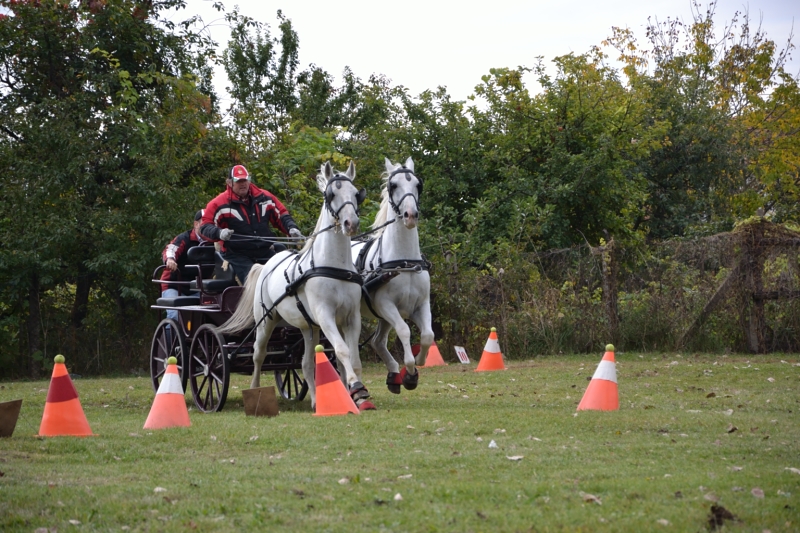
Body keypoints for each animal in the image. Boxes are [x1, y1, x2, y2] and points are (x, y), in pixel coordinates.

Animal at [220, 161, 372, 411]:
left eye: (356, 194)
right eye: (331, 194)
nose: (351, 223)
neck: (332, 265)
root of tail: (266, 264)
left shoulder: (351, 317)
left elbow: (353, 358)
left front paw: (357, 394)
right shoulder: (325, 315)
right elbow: (342, 350)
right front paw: (356, 388)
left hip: (308, 328)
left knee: (306, 363)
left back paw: (315, 400)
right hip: (266, 322)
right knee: (258, 355)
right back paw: (254, 391)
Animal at [351, 157, 433, 395]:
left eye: (417, 184)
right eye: (393, 185)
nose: (410, 215)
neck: (404, 262)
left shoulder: (420, 304)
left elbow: (428, 336)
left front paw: (417, 364)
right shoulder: (386, 305)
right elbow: (405, 331)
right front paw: (410, 371)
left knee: (377, 342)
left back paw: (393, 375)